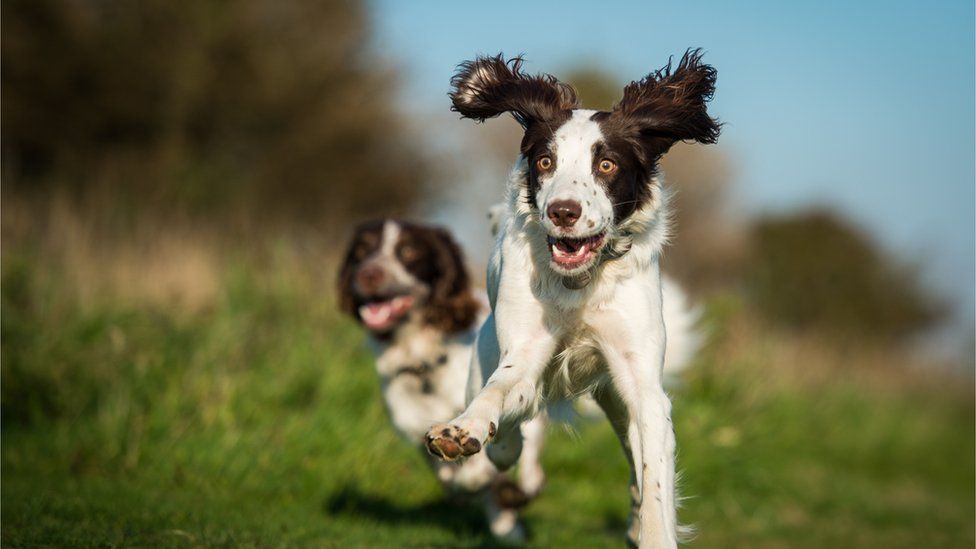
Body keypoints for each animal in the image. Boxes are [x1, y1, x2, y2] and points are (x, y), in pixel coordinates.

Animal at [340, 218, 544, 540]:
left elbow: (485, 463)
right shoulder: (412, 427)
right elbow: (453, 476)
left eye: (409, 251)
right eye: (361, 250)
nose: (369, 273)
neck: (423, 362)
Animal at [424, 49, 720, 544]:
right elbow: (500, 391)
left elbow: (654, 476)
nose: (564, 211)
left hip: (617, 400)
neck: (580, 282)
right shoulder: (522, 351)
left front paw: (653, 531)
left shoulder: (642, 386)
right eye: (545, 162)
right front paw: (462, 432)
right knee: (504, 431)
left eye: (607, 165)